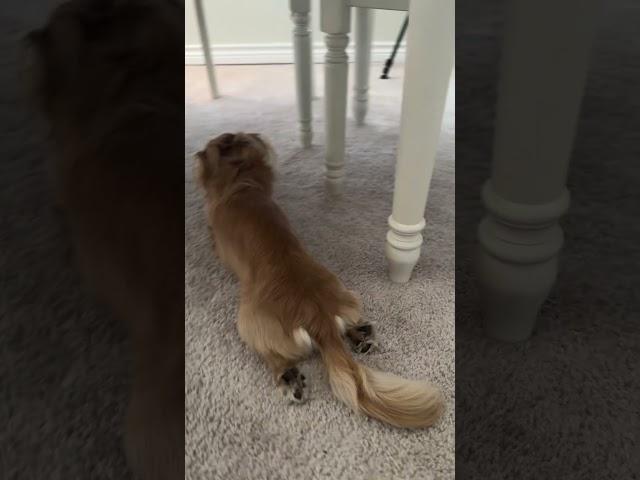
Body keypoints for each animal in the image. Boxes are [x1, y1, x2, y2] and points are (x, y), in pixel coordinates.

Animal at [196, 132, 444, 428]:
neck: (241, 185)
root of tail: (319, 318)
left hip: (247, 323)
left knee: (273, 358)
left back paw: (289, 379)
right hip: (348, 295)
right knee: (349, 325)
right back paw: (362, 336)